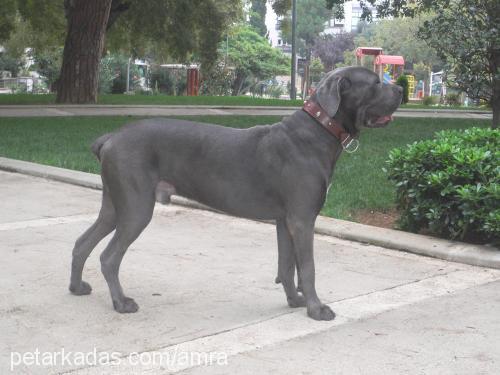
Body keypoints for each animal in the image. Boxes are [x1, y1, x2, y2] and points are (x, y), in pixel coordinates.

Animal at [69, 66, 402, 322]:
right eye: (375, 83)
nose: (401, 89)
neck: (319, 131)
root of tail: (111, 137)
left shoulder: (285, 220)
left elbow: (286, 265)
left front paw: (294, 301)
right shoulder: (302, 219)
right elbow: (307, 268)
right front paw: (316, 309)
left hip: (115, 204)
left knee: (82, 242)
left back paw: (76, 287)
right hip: (137, 207)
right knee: (109, 257)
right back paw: (121, 303)